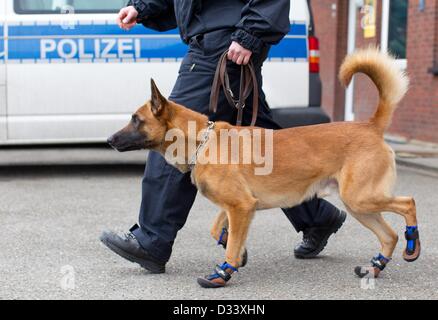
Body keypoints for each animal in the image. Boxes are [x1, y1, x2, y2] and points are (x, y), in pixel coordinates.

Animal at [108, 48, 420, 290]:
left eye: (136, 119)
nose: (109, 140)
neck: (203, 141)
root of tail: (371, 126)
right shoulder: (238, 206)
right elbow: (218, 230)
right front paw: (235, 248)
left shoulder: (240, 206)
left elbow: (230, 245)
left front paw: (223, 272)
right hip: (358, 206)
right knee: (389, 235)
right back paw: (376, 266)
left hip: (361, 198)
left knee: (408, 203)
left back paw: (412, 244)